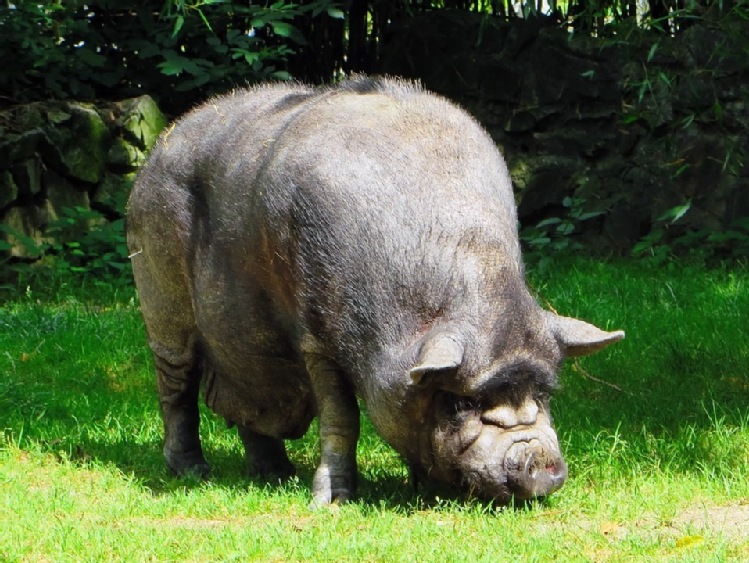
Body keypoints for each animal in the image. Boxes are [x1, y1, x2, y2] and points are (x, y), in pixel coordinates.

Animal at [125, 76, 624, 506]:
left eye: (544, 394)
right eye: (462, 402)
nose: (539, 460)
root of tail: (159, 146)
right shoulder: (317, 341)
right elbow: (341, 418)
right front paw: (331, 503)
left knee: (252, 398)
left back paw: (276, 475)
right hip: (159, 292)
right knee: (176, 386)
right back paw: (192, 472)